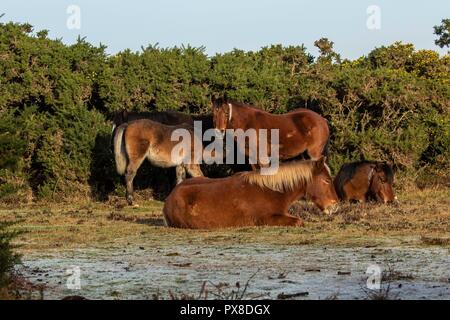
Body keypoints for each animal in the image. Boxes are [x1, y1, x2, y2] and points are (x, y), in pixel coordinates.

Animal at [163, 156, 340, 229]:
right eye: (326, 180)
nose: (335, 206)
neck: (270, 191)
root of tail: (170, 197)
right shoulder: (266, 219)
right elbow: (298, 221)